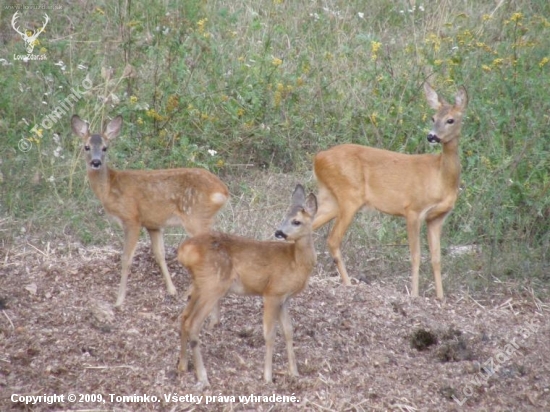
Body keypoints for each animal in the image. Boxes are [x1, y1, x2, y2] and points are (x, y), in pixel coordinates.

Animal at [71, 114, 231, 308]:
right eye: (86, 147)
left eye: (105, 148)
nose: (96, 162)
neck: (110, 188)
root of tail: (223, 191)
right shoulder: (153, 224)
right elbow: (159, 254)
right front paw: (171, 290)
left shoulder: (132, 218)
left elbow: (126, 258)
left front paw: (119, 300)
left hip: (196, 217)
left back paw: (190, 293)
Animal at [179, 183, 316, 386]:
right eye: (286, 217)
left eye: (296, 221)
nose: (278, 232)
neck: (295, 261)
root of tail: (184, 251)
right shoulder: (272, 292)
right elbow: (270, 334)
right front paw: (268, 377)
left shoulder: (284, 298)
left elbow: (288, 331)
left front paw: (295, 372)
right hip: (213, 284)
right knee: (193, 323)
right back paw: (203, 376)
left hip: (199, 284)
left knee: (183, 317)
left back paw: (182, 365)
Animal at [314, 83, 470, 300]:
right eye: (433, 118)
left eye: (450, 119)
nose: (431, 136)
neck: (440, 177)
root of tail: (318, 158)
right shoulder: (413, 210)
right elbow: (415, 256)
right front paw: (414, 295)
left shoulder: (437, 217)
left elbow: (436, 259)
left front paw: (440, 298)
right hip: (349, 196)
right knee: (332, 239)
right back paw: (348, 283)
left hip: (330, 199)